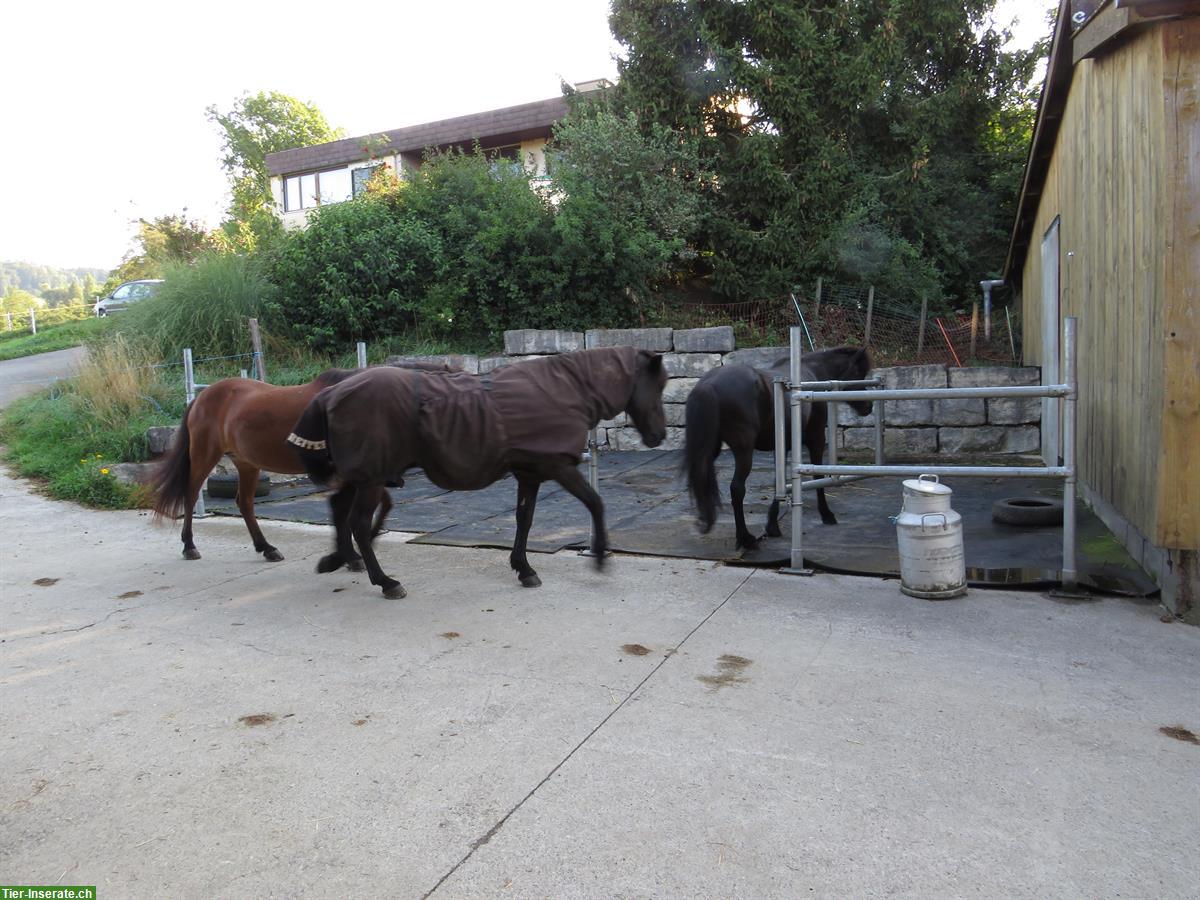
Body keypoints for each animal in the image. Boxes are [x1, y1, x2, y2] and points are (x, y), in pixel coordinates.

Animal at [286, 348, 672, 602]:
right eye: (659, 386)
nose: (659, 436)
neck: (566, 389)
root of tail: (332, 391)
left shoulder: (529, 472)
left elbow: (524, 519)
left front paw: (523, 568)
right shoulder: (558, 467)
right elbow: (595, 503)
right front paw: (601, 556)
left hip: (363, 475)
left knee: (339, 509)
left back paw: (340, 560)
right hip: (371, 477)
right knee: (358, 522)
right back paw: (385, 581)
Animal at [686, 348, 873, 554]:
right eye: (858, 373)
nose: (868, 406)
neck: (812, 372)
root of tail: (708, 384)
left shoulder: (782, 446)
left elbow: (779, 482)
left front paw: (773, 524)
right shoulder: (816, 440)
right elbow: (817, 477)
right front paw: (826, 514)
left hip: (710, 449)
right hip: (744, 452)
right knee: (737, 489)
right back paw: (746, 538)